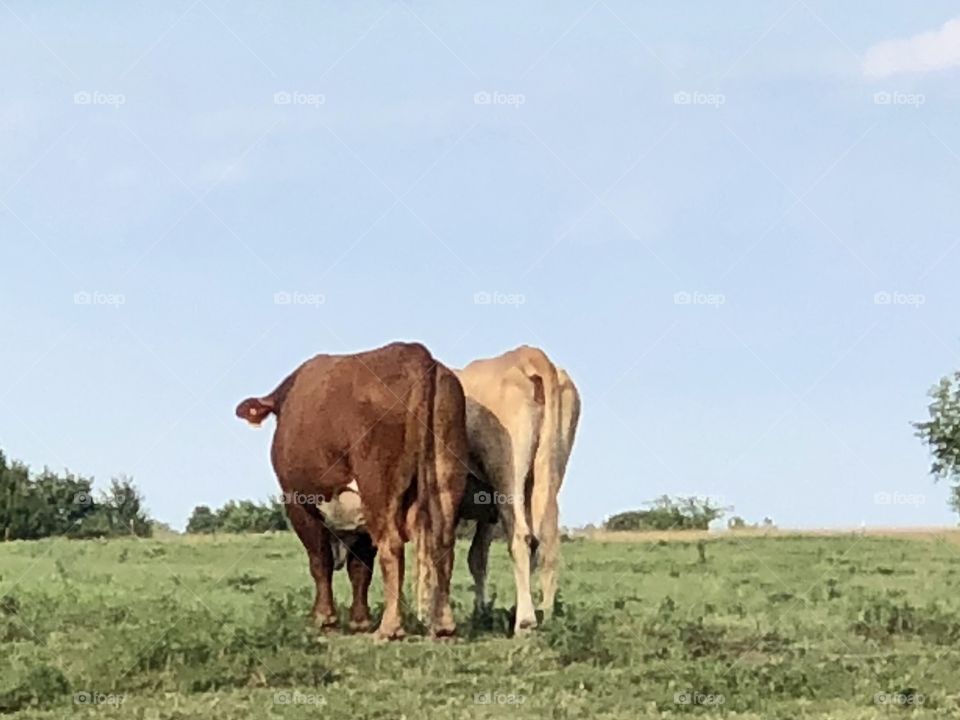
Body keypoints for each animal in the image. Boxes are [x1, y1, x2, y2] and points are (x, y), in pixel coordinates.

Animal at [235, 342, 467, 640]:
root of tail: (414, 353)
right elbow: (360, 567)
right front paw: (360, 620)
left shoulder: (297, 502)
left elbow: (320, 560)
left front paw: (325, 619)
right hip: (445, 475)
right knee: (443, 544)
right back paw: (444, 626)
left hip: (377, 485)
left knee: (391, 545)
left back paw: (390, 628)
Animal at [456, 346, 580, 633]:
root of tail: (528, 355)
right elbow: (477, 556)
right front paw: (480, 613)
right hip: (545, 475)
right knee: (545, 540)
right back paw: (545, 615)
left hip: (508, 474)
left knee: (521, 537)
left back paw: (524, 621)